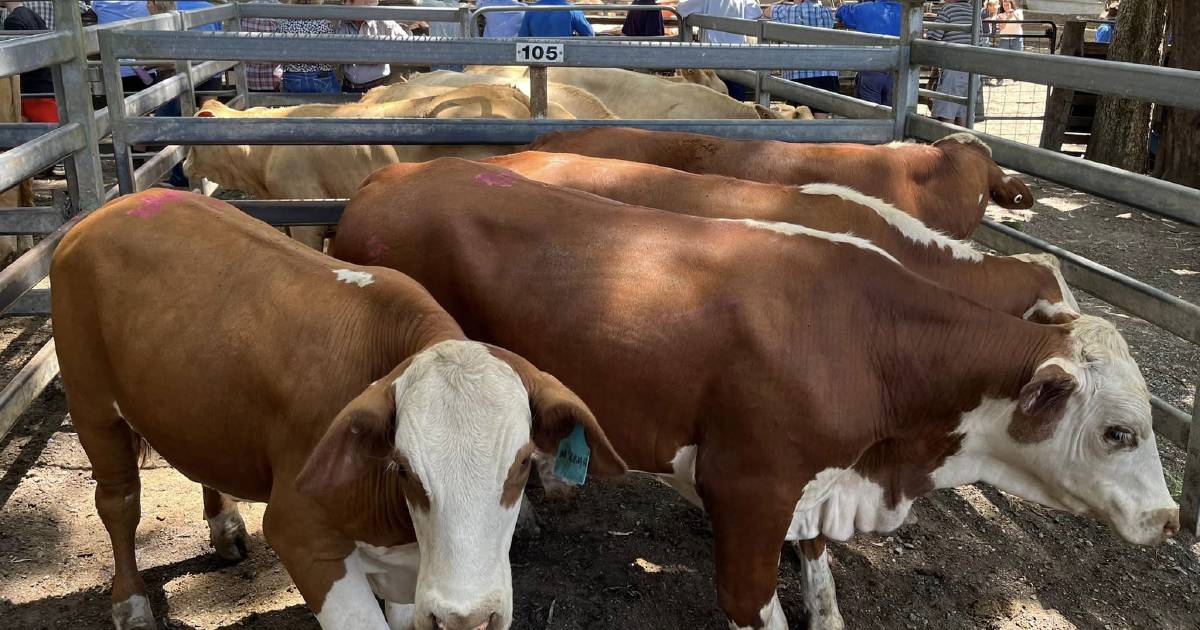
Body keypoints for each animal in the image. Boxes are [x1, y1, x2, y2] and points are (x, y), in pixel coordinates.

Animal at [51, 188, 624, 628]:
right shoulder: (300, 531)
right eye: (404, 468)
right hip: (90, 401)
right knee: (119, 502)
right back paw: (130, 604)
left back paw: (226, 528)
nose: (466, 616)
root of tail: (115, 207)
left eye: (524, 463)